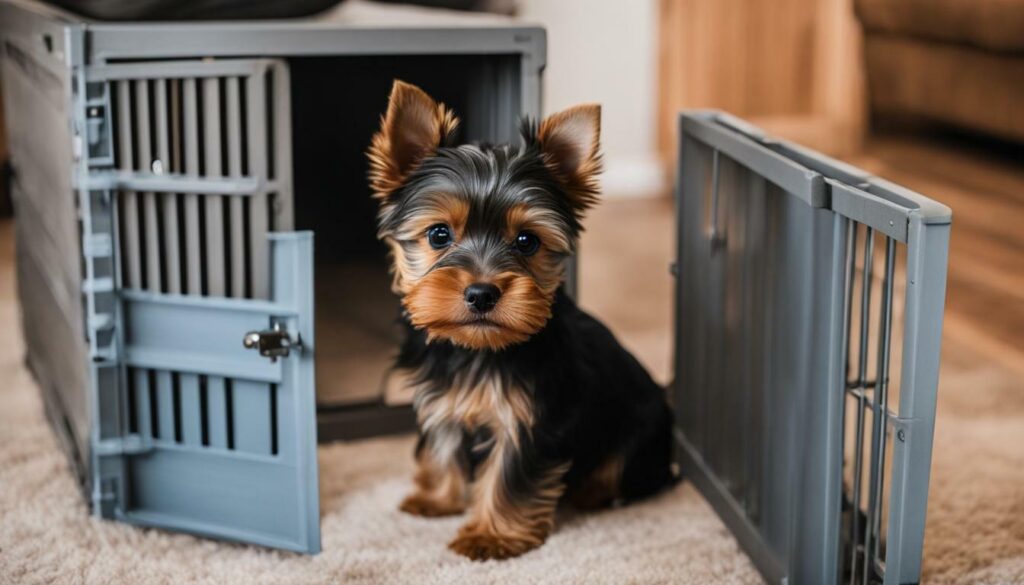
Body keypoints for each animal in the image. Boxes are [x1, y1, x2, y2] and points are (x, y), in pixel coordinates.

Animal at [370, 79, 679, 561]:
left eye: (527, 241)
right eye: (439, 234)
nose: (481, 293)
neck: (477, 349)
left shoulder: (533, 417)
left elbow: (509, 475)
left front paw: (490, 536)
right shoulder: (443, 399)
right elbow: (442, 445)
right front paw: (436, 499)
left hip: (641, 428)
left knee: (631, 472)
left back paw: (594, 492)